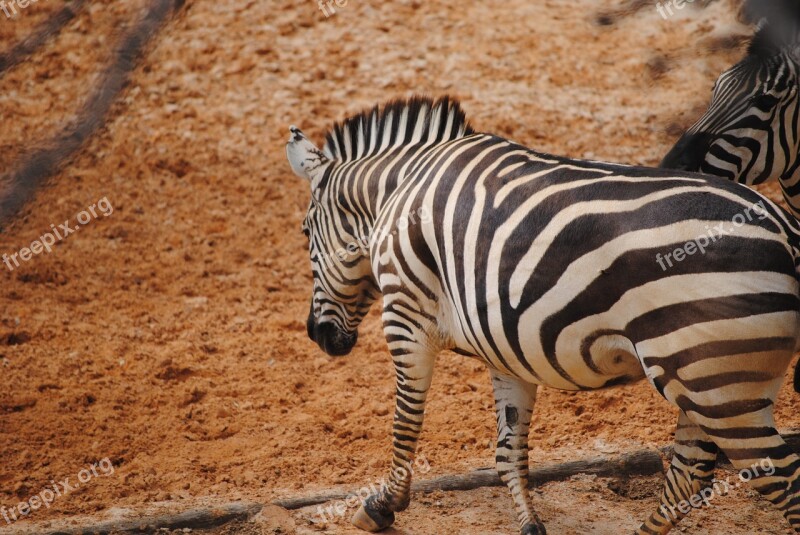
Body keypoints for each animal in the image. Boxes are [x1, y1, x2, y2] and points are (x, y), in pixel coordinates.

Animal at [286, 97, 800, 535]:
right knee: (689, 473)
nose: (316, 334)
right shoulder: (504, 342)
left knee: (776, 479)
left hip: (718, 385)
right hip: (708, 378)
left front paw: (383, 506)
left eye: (306, 231)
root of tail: (784, 228)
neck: (398, 194)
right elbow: (508, 448)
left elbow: (405, 421)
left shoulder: (404, 314)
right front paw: (529, 521)